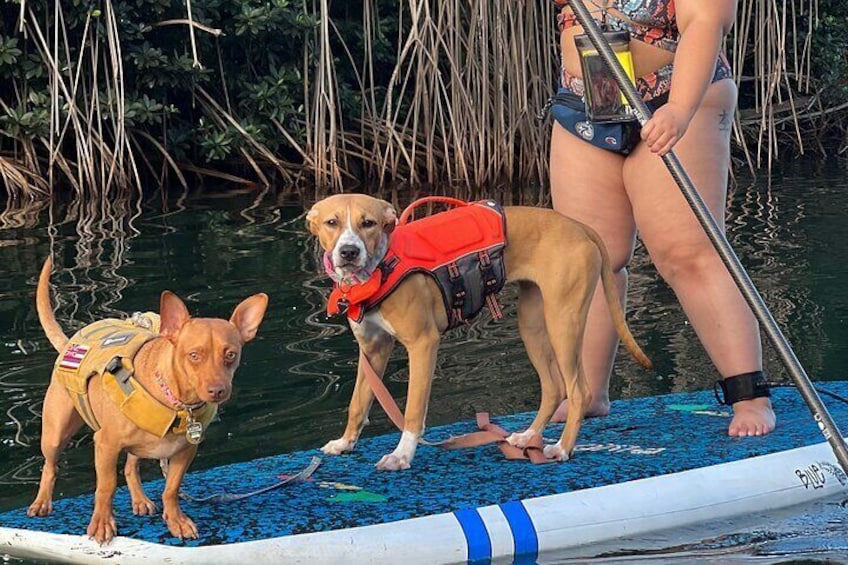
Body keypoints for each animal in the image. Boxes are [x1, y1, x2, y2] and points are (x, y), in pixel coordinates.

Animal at [29, 258, 266, 544]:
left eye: (230, 354)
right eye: (194, 355)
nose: (217, 390)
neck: (179, 404)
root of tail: (69, 343)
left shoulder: (185, 451)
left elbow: (171, 489)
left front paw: (176, 521)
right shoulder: (105, 445)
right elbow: (106, 487)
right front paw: (102, 523)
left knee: (131, 467)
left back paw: (140, 500)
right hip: (55, 434)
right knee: (50, 466)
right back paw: (42, 503)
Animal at [308, 192, 652, 470]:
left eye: (368, 223)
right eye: (331, 222)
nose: (349, 252)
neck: (380, 267)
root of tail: (579, 227)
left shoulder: (423, 344)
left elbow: (413, 409)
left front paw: (401, 456)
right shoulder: (373, 349)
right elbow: (358, 402)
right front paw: (345, 442)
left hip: (563, 321)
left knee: (578, 391)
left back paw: (562, 449)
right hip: (533, 323)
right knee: (555, 388)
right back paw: (528, 436)